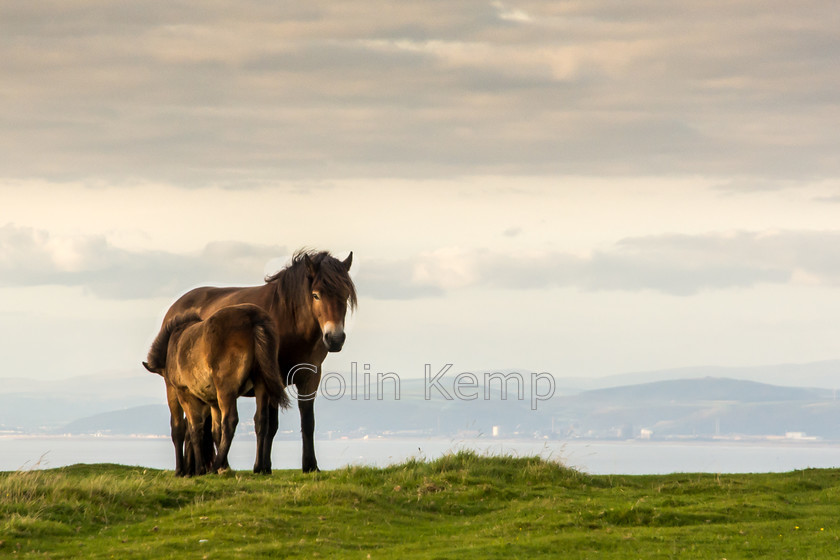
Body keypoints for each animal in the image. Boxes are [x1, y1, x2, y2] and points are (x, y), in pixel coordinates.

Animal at [143, 304, 290, 474]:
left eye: (166, 378)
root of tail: (253, 317)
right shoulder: (213, 402)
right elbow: (215, 432)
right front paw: (223, 467)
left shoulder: (183, 393)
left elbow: (188, 428)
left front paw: (191, 470)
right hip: (260, 383)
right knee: (260, 420)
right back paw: (257, 467)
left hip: (226, 389)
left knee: (230, 421)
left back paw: (213, 467)